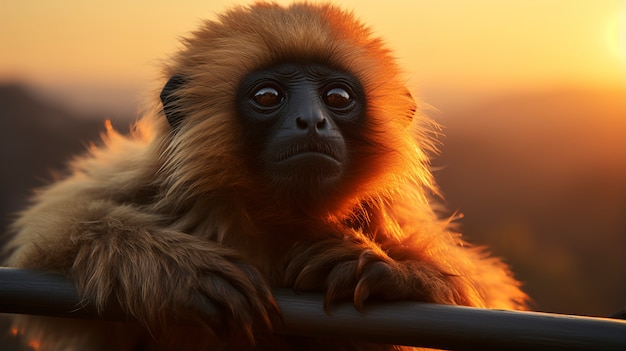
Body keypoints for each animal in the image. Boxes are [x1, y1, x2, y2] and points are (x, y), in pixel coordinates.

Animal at [1, 2, 528, 351]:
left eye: (337, 98)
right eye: (269, 97)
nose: (311, 121)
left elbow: (489, 293)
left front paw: (383, 269)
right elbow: (45, 240)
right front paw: (176, 269)